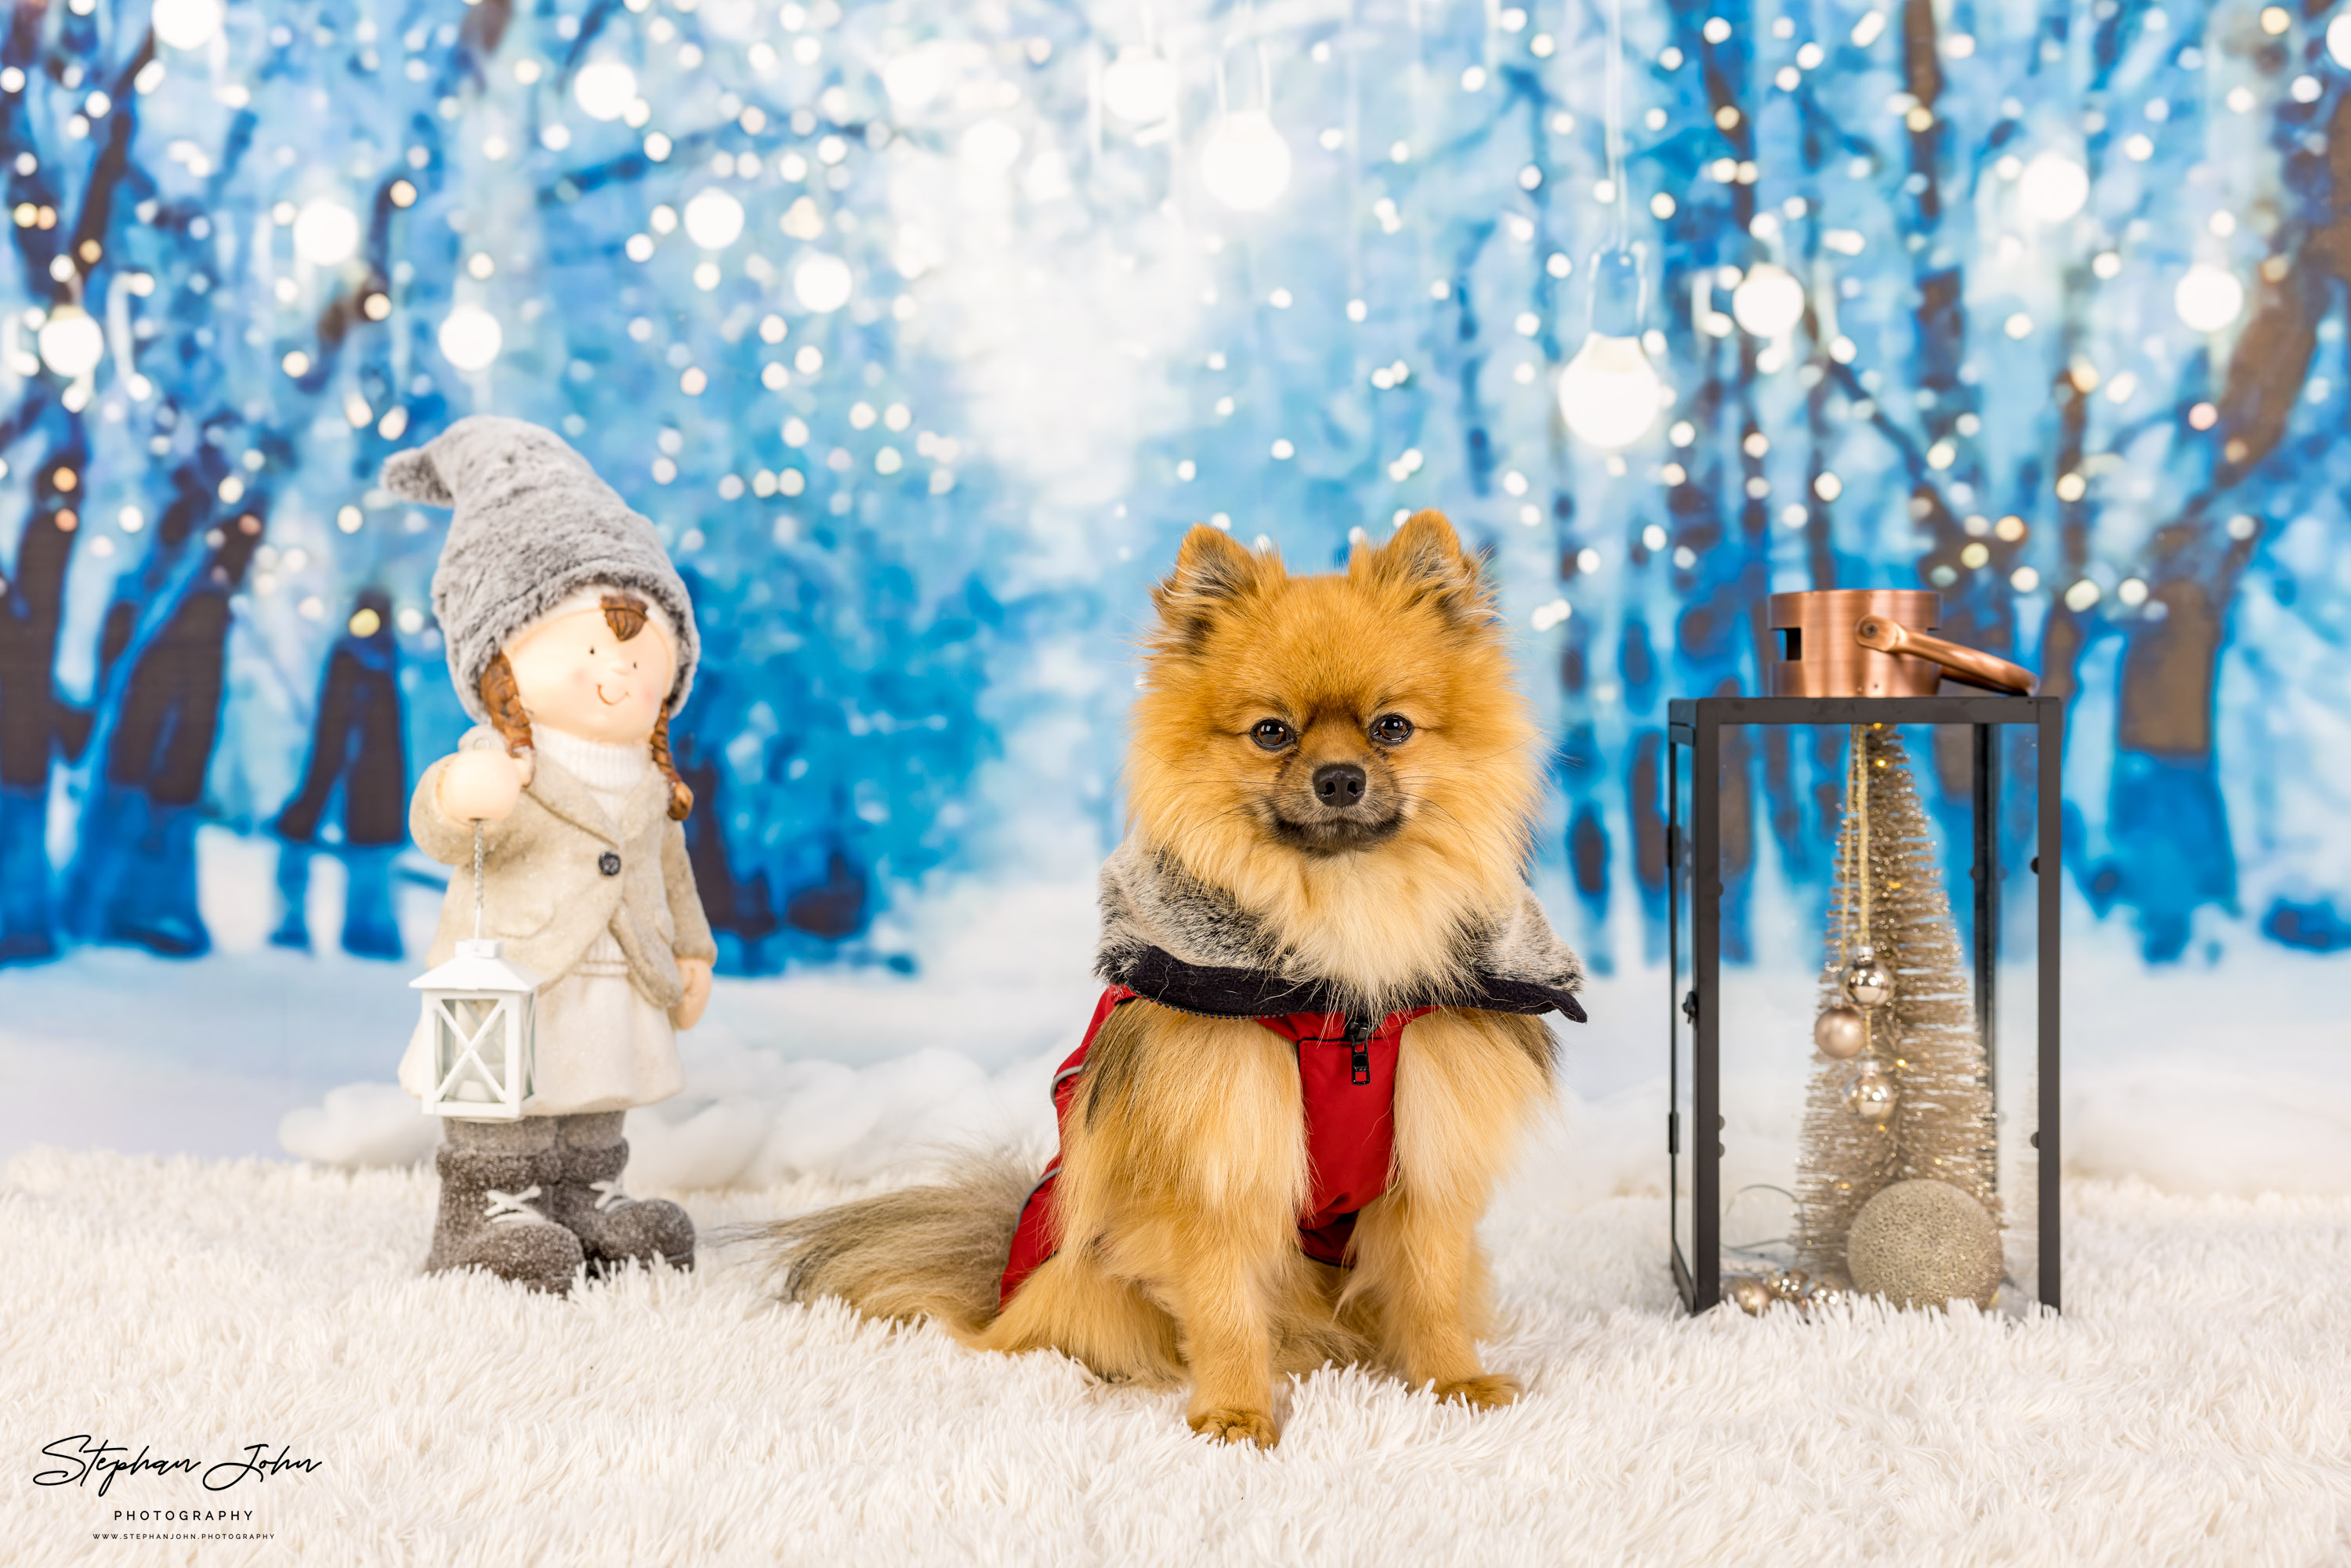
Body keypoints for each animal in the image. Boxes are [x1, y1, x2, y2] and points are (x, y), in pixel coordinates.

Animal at [762, 512, 1589, 1448]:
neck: (1343, 959)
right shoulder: (1218, 1157)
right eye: (1272, 733)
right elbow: (1225, 1308)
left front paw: (1452, 1381)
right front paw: (1234, 1412)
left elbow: (1434, 1287)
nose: (1340, 779)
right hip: (1087, 1277)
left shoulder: (1429, 1152)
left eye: (1391, 728)